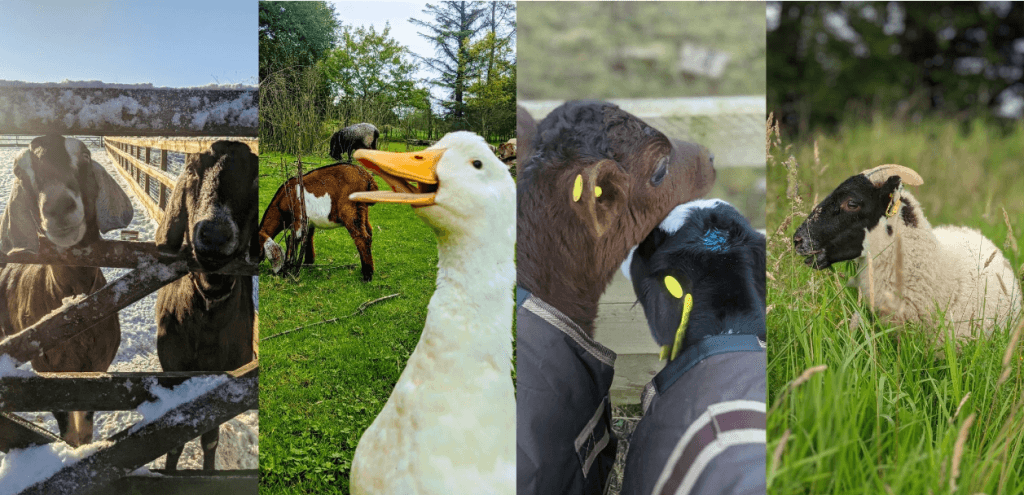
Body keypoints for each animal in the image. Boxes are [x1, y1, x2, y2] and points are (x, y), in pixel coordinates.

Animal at [0, 133, 134, 446]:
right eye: (19, 171)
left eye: (84, 155)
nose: (58, 206)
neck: (78, 311)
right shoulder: (50, 373)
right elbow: (70, 432)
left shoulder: (96, 368)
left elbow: (84, 428)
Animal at [155, 140, 262, 473]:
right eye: (191, 171)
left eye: (255, 178)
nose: (214, 235)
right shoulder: (174, 368)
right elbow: (175, 442)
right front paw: (169, 473)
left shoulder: (223, 376)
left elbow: (210, 438)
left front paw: (209, 473)